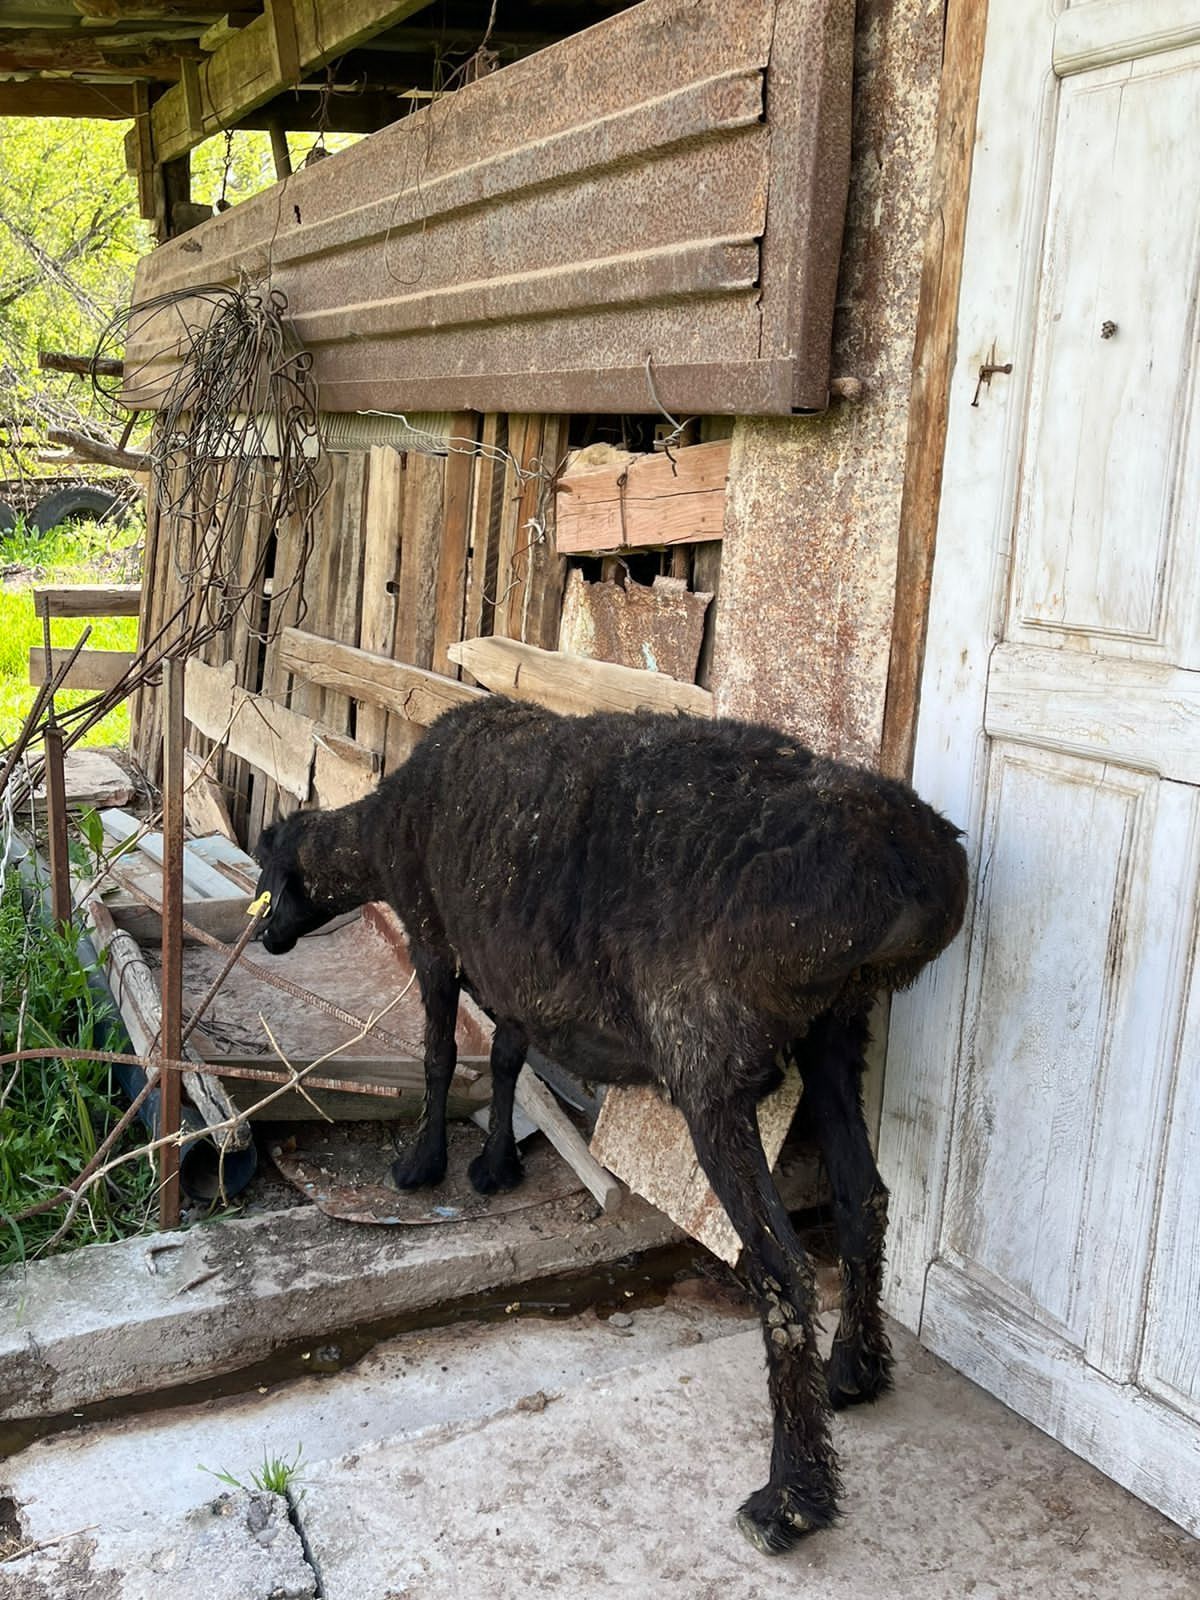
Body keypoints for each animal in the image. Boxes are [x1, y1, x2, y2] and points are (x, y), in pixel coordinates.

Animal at [254, 697, 966, 1548]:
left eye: (272, 884)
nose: (265, 938)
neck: (386, 820)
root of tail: (905, 862)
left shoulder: (434, 938)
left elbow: (440, 1052)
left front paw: (424, 1165)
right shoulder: (515, 969)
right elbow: (506, 1058)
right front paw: (496, 1167)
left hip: (707, 1066)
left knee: (785, 1272)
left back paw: (790, 1496)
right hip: (835, 1032)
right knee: (865, 1199)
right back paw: (857, 1371)